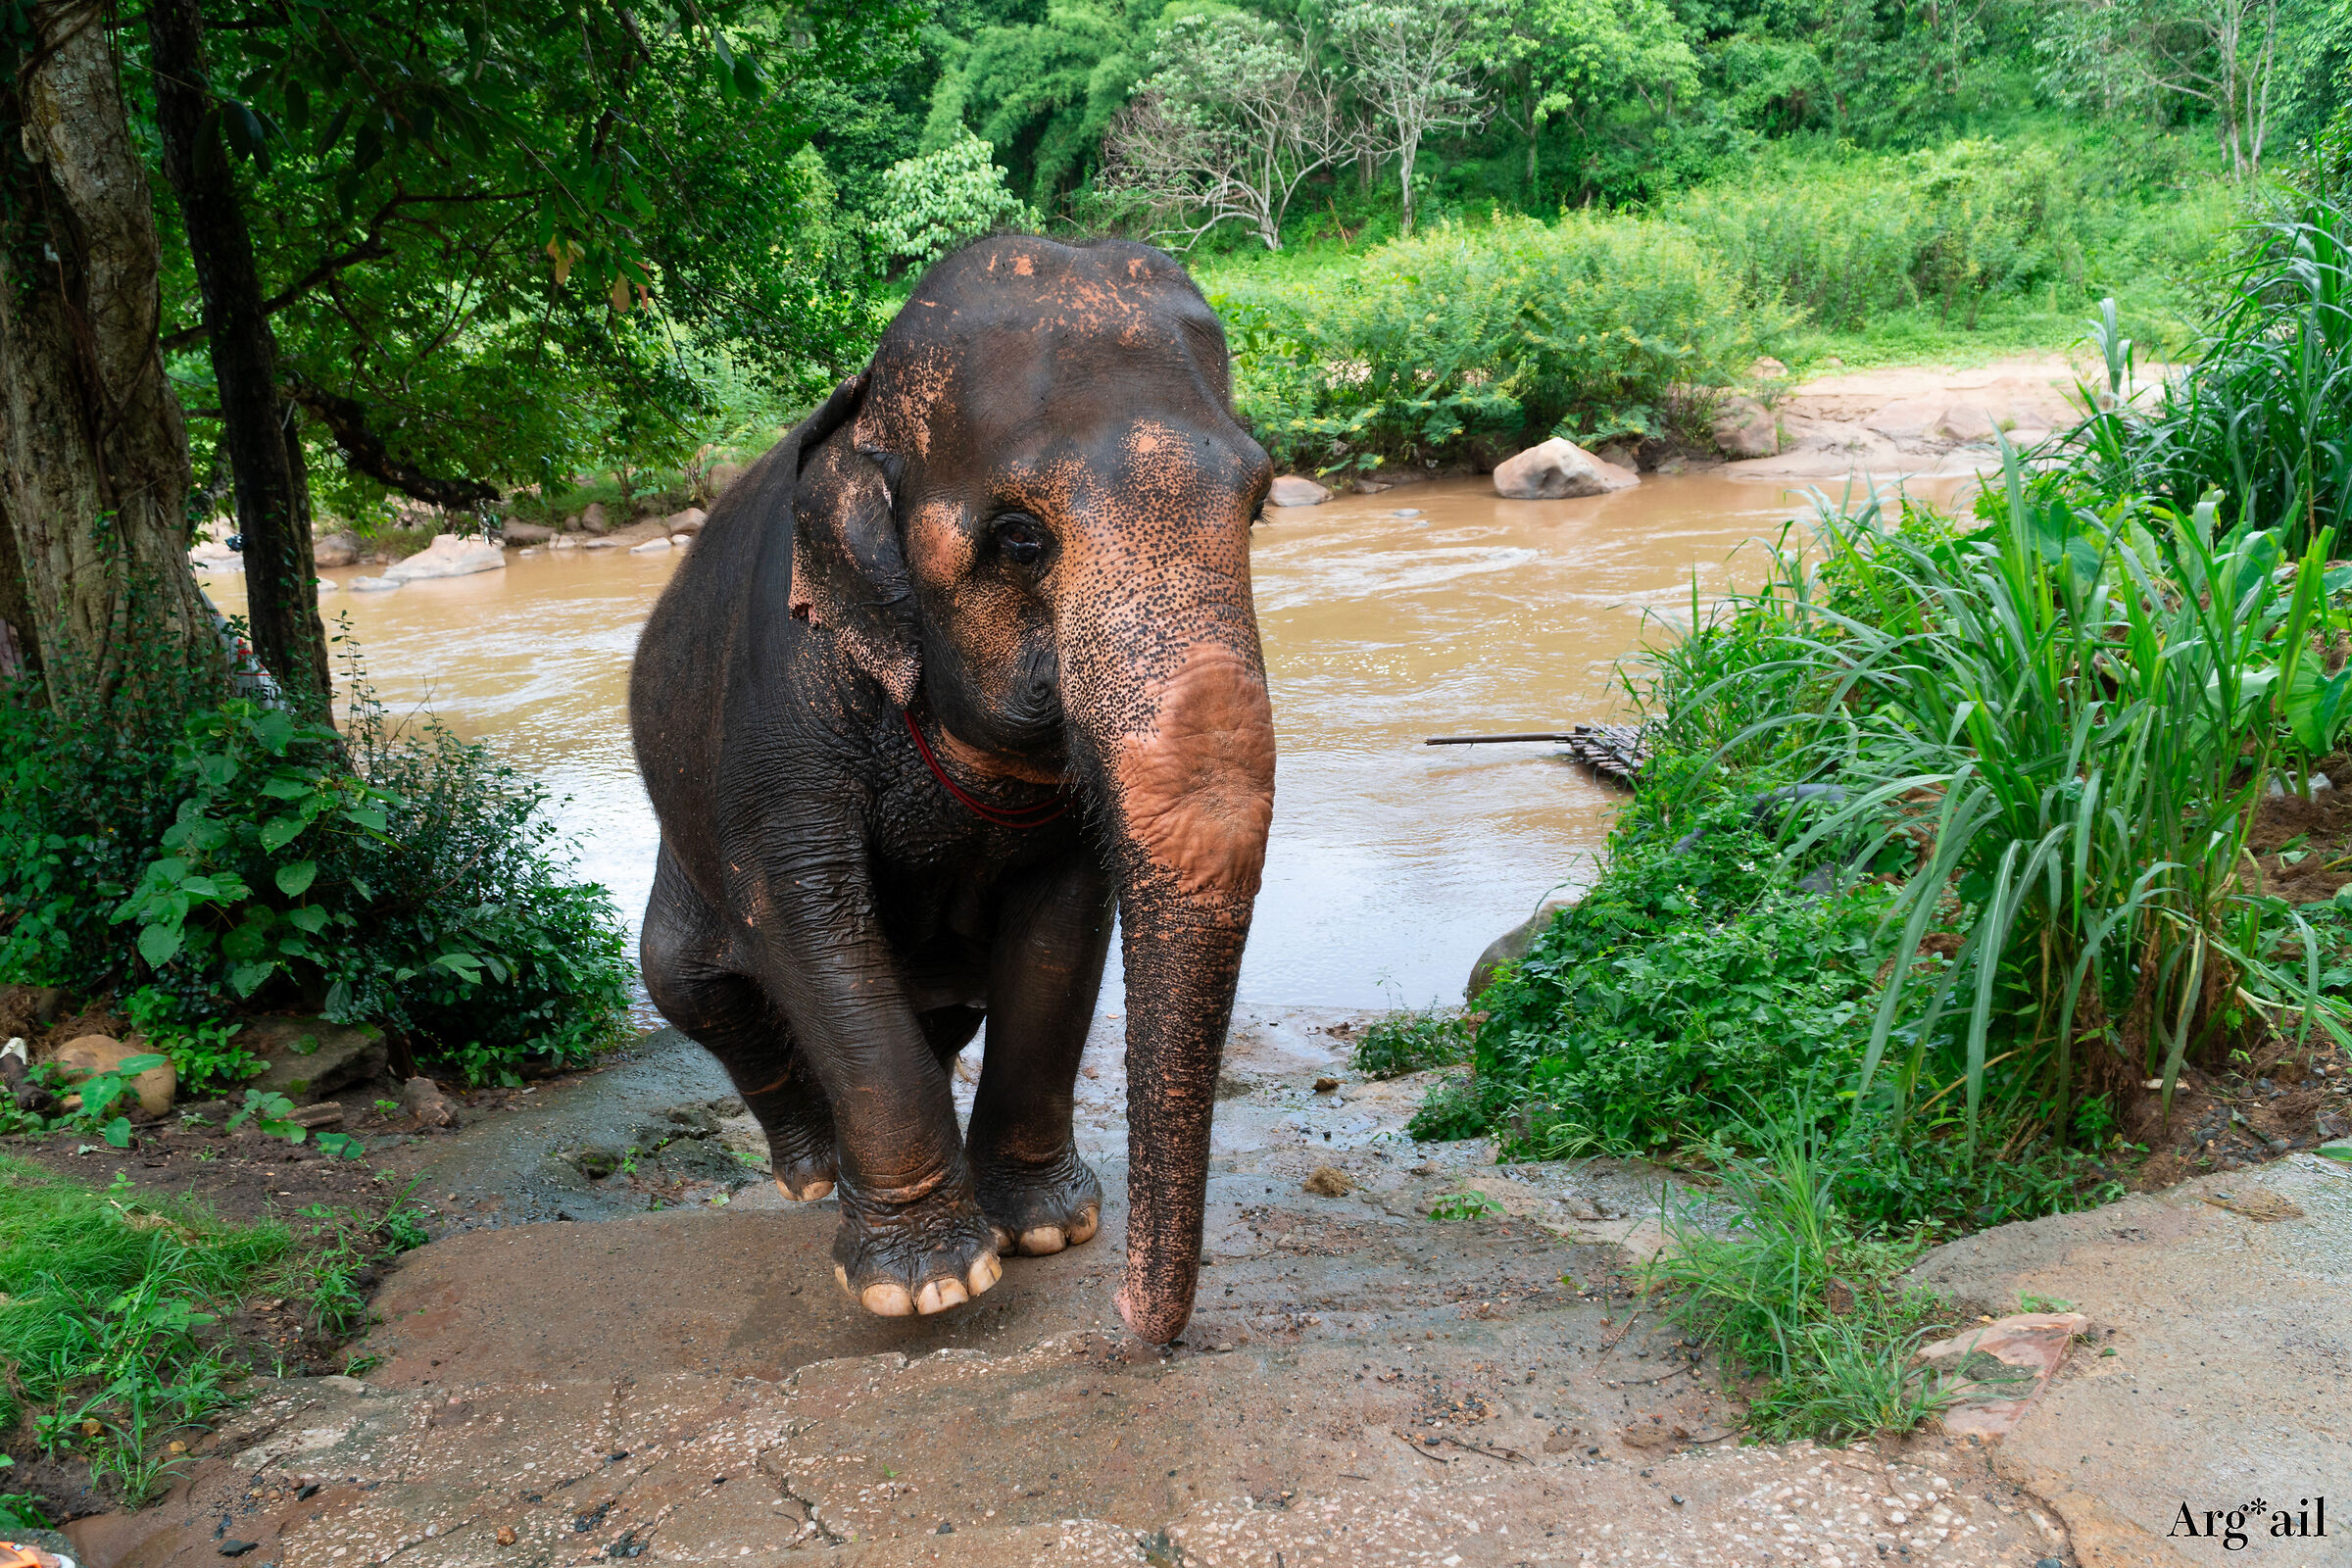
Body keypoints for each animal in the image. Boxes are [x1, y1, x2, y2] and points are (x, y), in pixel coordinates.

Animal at [628, 235, 1276, 1345]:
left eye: (1261, 504)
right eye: (1020, 539)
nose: (1128, 1318)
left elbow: (1060, 930)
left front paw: (1047, 1231)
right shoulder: (782, 706)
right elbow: (805, 915)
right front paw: (928, 1284)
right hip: (686, 828)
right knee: (687, 981)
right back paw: (812, 1177)